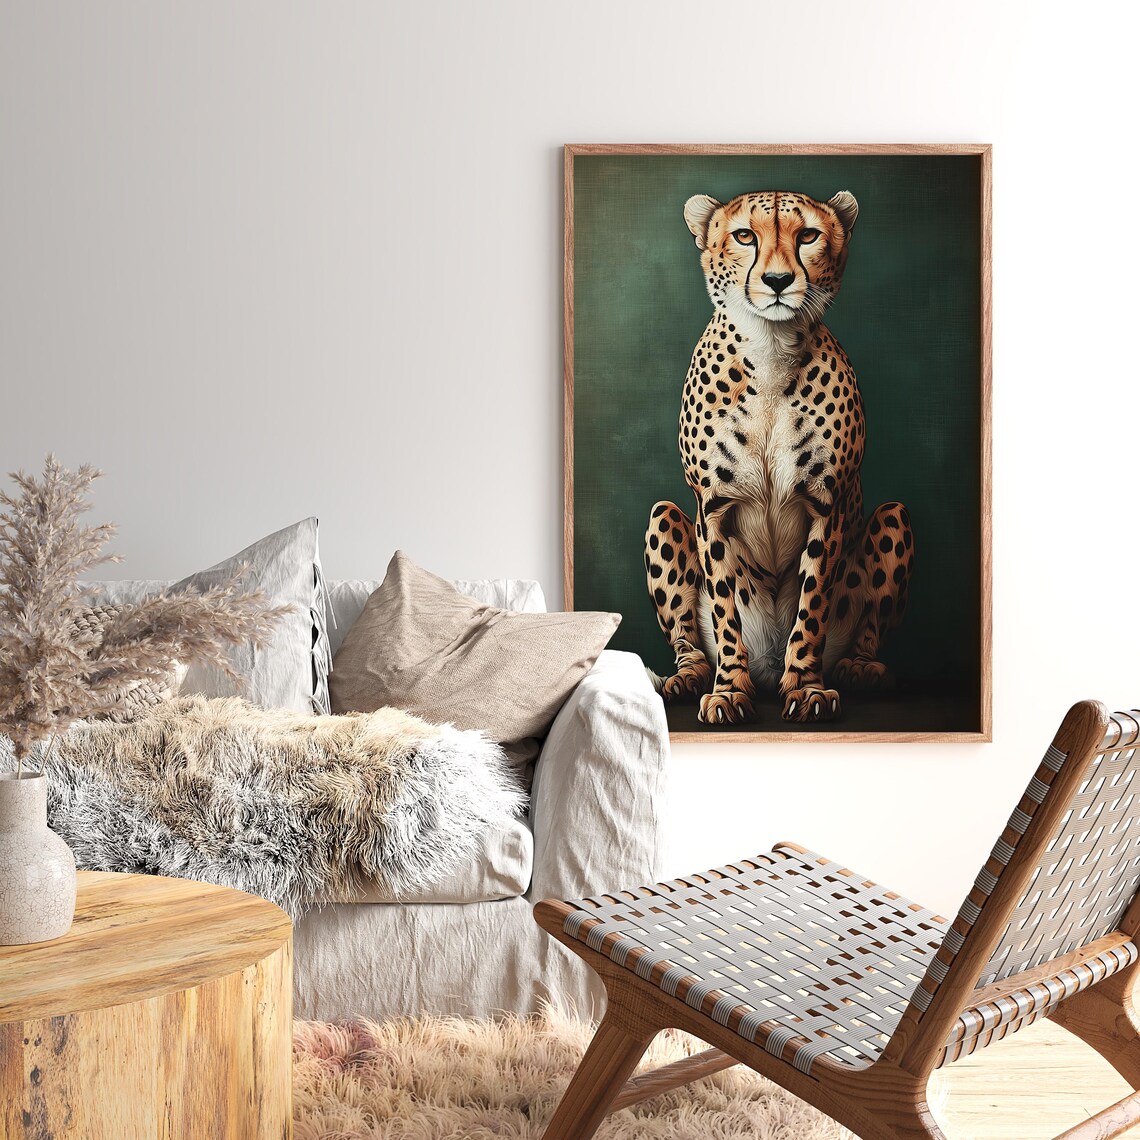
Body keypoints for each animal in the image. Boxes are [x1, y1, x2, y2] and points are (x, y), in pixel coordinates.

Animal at [644, 189, 913, 725]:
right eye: (745, 235)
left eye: (807, 235)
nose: (777, 281)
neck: (770, 349)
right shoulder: (713, 505)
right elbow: (725, 608)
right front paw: (728, 690)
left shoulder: (828, 504)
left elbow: (811, 606)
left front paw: (807, 687)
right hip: (664, 515)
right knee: (687, 635)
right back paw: (688, 676)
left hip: (894, 515)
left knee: (867, 627)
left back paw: (860, 668)